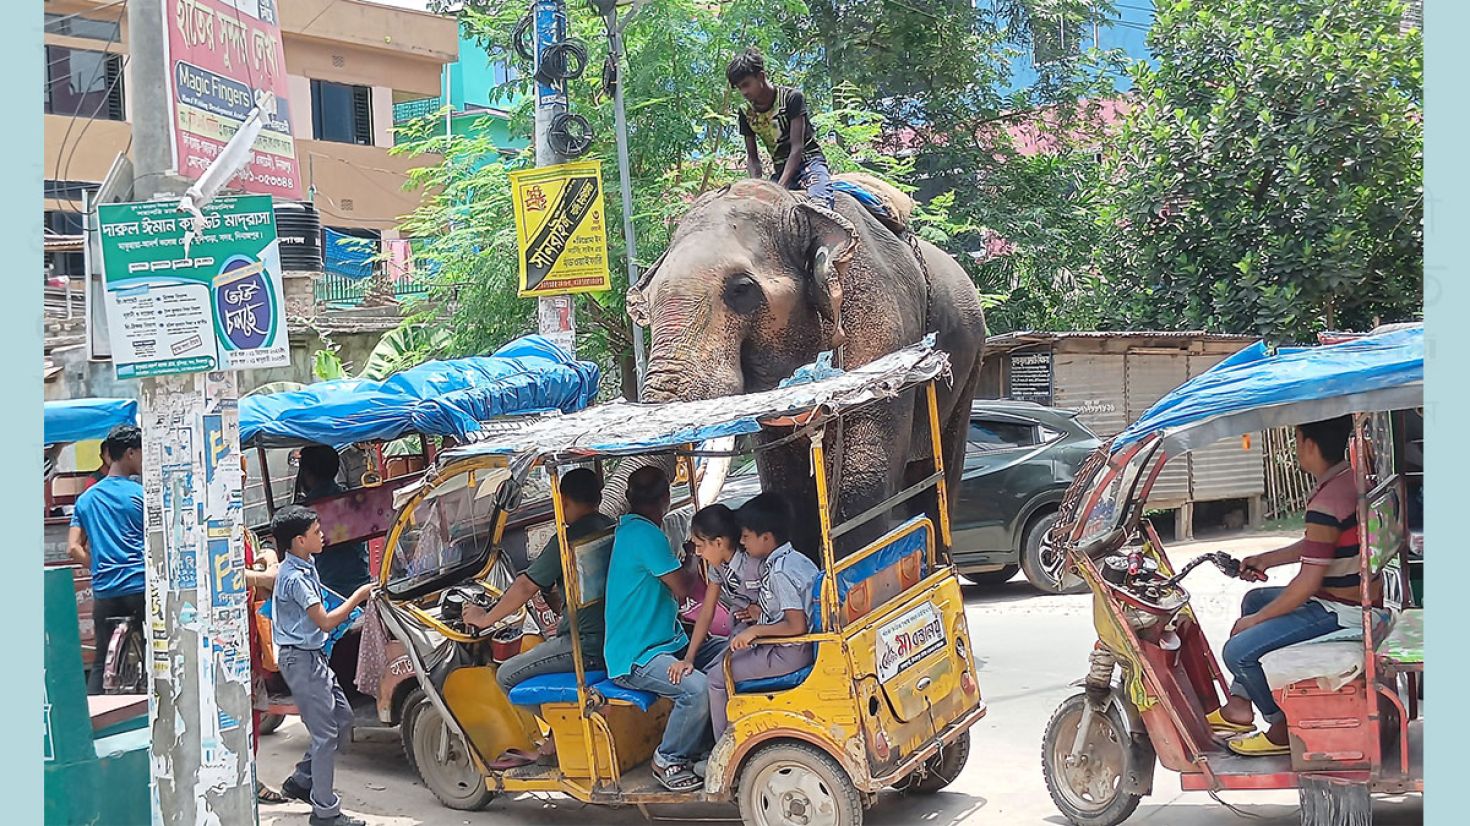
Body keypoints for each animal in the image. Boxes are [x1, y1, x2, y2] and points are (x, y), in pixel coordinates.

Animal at [614, 177, 981, 555]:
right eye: (644, 306)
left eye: (741, 289)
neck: (799, 207)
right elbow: (786, 488)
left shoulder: (882, 325)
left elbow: (863, 480)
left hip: (970, 357)